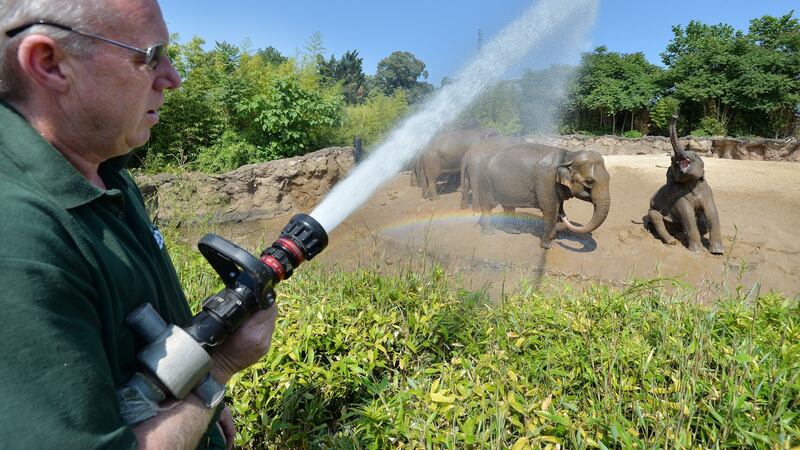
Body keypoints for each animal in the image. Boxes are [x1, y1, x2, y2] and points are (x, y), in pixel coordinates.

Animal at [464, 142, 611, 249]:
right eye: (590, 182)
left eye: (609, 178)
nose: (565, 218)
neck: (568, 155)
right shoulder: (547, 182)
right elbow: (550, 211)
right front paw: (548, 246)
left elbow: (558, 208)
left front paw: (554, 235)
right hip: (486, 183)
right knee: (488, 206)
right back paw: (489, 232)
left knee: (508, 207)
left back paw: (512, 231)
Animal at [644, 115, 724, 254]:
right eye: (672, 160)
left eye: (695, 155)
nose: (675, 115)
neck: (692, 183)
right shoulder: (677, 195)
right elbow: (687, 215)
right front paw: (697, 251)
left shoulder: (707, 191)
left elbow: (711, 212)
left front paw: (718, 252)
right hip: (651, 212)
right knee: (655, 217)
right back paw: (672, 241)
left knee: (701, 223)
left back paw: (681, 235)